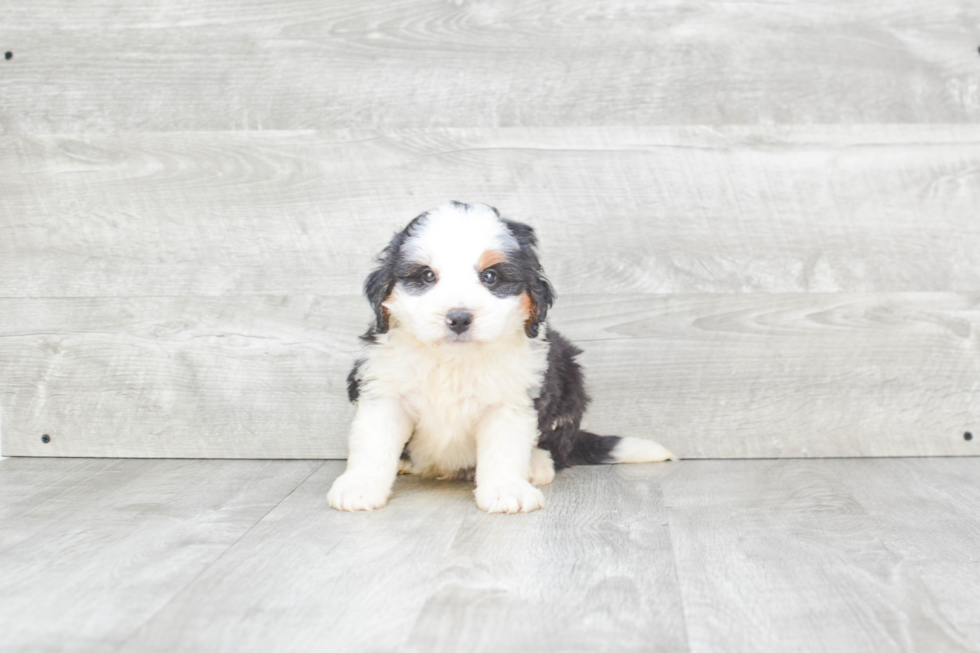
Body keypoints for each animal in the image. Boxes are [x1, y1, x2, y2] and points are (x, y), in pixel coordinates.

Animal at [330, 201, 672, 512]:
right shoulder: (385, 391)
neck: (454, 361)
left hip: (569, 380)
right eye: (427, 276)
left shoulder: (511, 401)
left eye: (491, 276)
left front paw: (506, 490)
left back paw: (537, 464)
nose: (459, 318)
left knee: (558, 448)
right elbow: (374, 443)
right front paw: (360, 487)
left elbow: (504, 449)